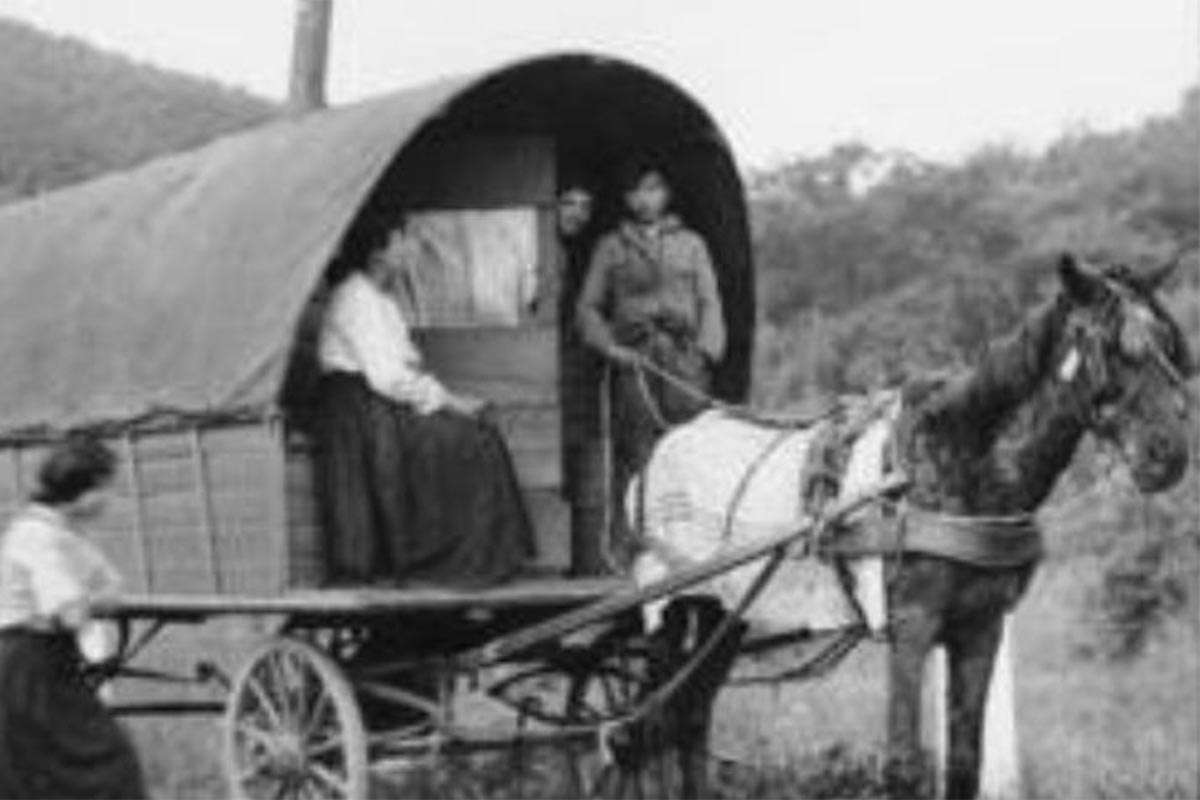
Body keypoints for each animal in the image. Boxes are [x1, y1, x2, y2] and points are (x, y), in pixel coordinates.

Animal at [626, 252, 1193, 799]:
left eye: (1168, 345)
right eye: (1114, 348)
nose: (1169, 455)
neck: (953, 462)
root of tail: (662, 447)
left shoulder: (981, 626)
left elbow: (964, 761)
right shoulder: (912, 624)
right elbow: (902, 765)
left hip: (729, 612)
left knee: (690, 716)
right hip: (671, 606)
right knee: (650, 723)